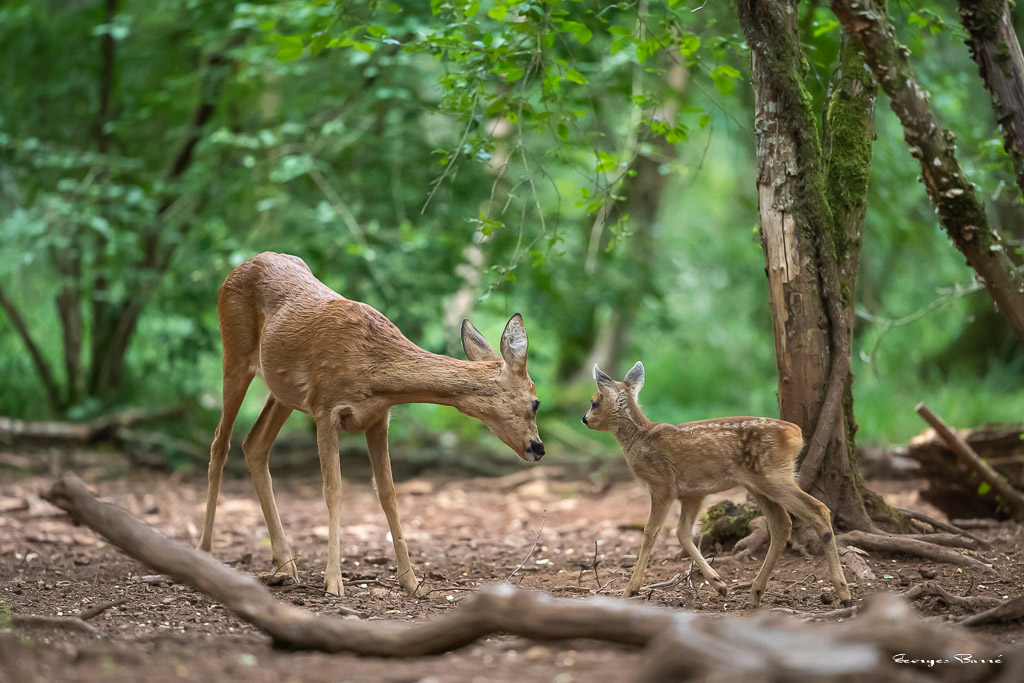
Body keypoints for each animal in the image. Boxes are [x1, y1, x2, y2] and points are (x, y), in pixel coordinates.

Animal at [197, 252, 544, 597]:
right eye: (535, 402)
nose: (538, 448)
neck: (373, 369)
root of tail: (245, 263)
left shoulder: (378, 417)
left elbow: (388, 493)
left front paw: (411, 581)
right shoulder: (325, 408)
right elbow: (333, 490)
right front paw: (333, 581)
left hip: (283, 391)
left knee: (254, 444)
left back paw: (285, 566)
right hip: (235, 354)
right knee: (220, 442)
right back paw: (205, 552)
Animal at [582, 362, 851, 608]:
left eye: (594, 402)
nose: (584, 419)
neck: (640, 438)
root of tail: (796, 434)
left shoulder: (662, 483)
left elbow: (651, 532)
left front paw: (630, 589)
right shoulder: (693, 493)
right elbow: (682, 532)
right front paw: (719, 584)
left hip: (773, 476)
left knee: (818, 510)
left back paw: (844, 592)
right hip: (759, 484)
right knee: (782, 524)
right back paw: (755, 593)